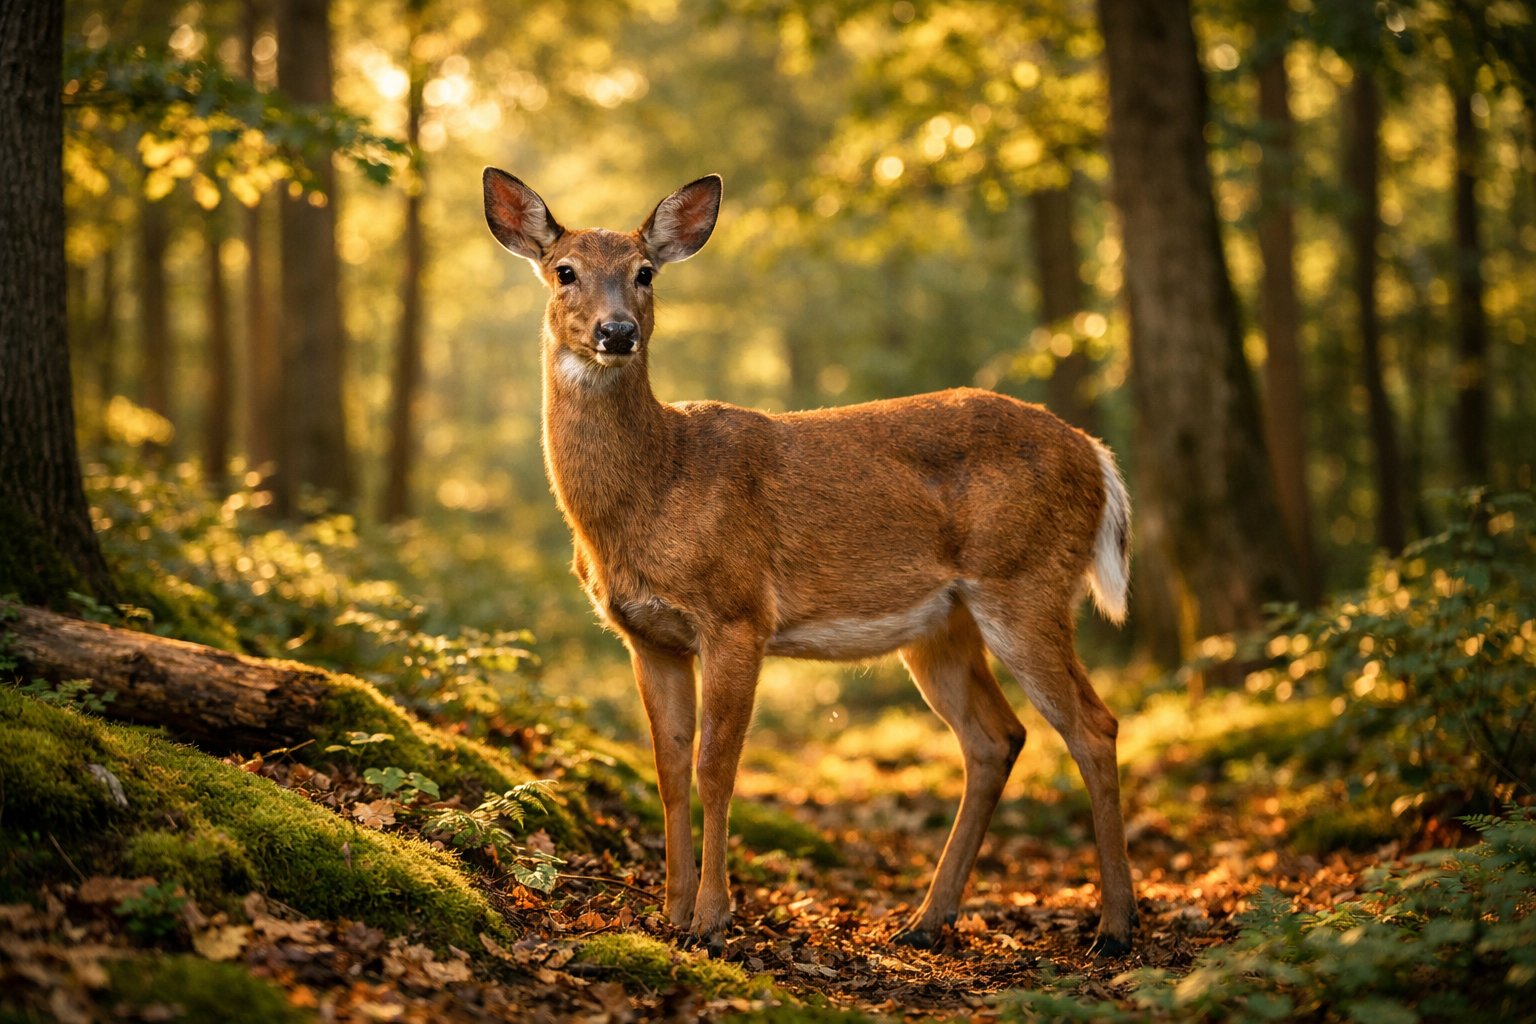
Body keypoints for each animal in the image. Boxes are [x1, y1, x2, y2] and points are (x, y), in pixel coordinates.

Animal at [482, 168, 1137, 957]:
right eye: (564, 271)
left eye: (645, 272)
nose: (617, 332)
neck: (654, 489)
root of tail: (1098, 458)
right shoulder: (648, 636)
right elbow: (667, 768)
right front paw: (668, 914)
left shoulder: (737, 612)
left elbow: (715, 767)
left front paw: (712, 918)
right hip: (943, 625)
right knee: (995, 738)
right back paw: (926, 919)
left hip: (1027, 581)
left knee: (1093, 726)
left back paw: (1115, 926)